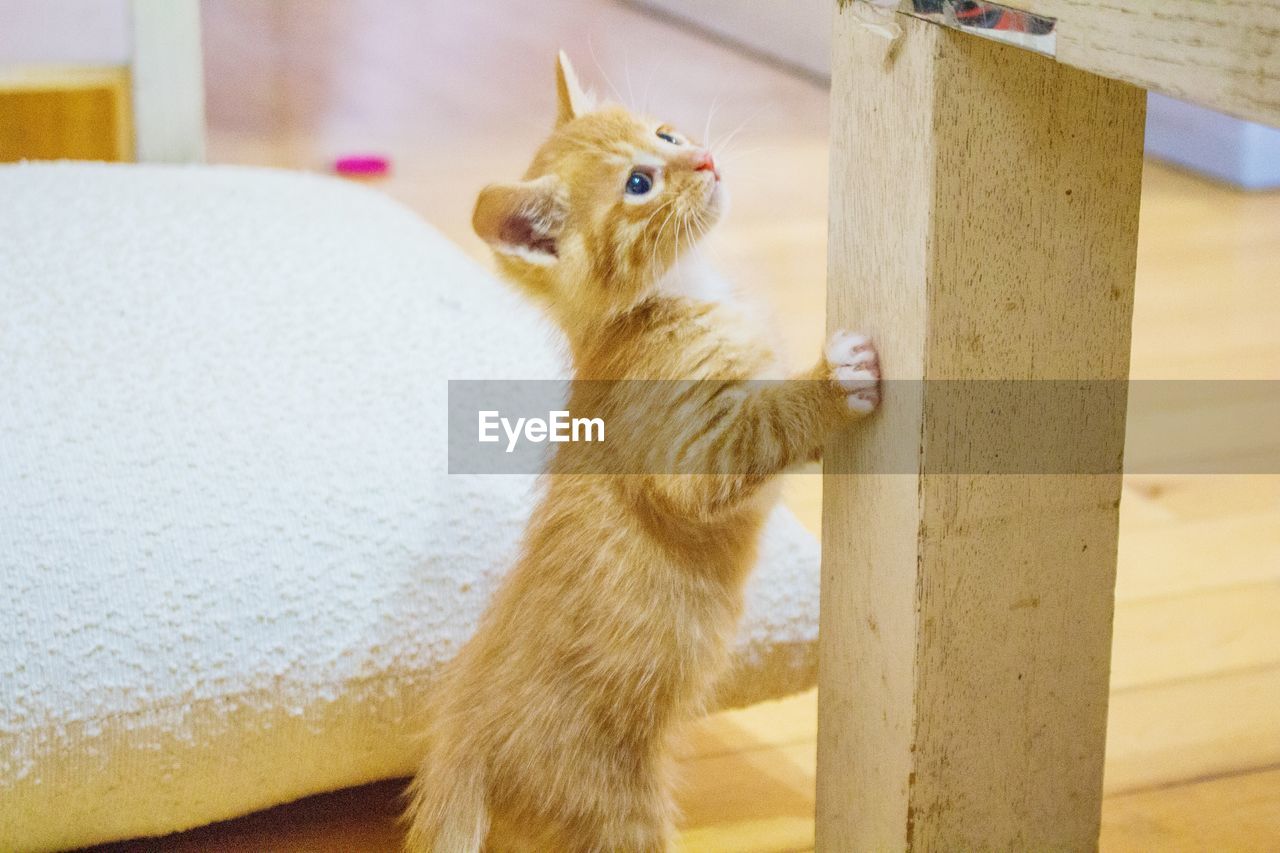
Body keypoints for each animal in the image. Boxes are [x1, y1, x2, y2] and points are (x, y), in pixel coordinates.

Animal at [404, 54, 875, 850]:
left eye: (667, 132)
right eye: (638, 184)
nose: (704, 157)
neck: (675, 294)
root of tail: (459, 742)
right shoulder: (693, 446)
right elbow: (768, 425)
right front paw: (835, 381)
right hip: (616, 814)